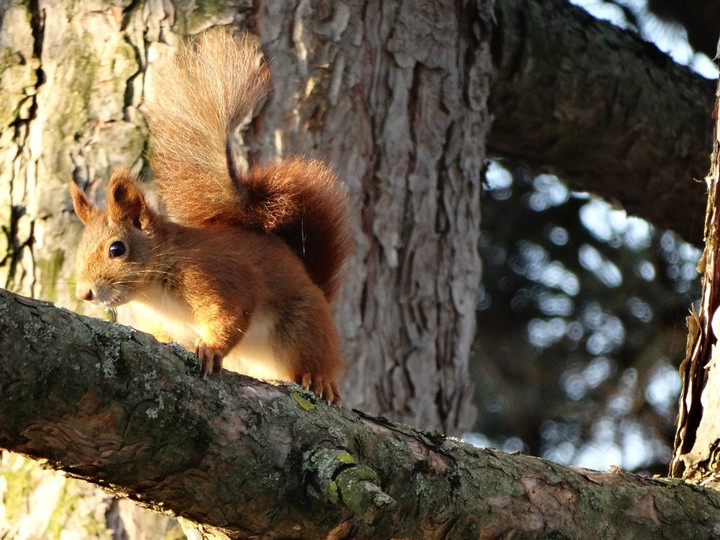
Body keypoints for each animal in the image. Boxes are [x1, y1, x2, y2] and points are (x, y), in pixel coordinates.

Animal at [70, 29, 351, 403]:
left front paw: (212, 350)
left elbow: (231, 314)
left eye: (117, 249)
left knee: (314, 356)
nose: (84, 293)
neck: (154, 293)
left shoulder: (218, 277)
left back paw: (319, 380)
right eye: (78, 250)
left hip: (302, 328)